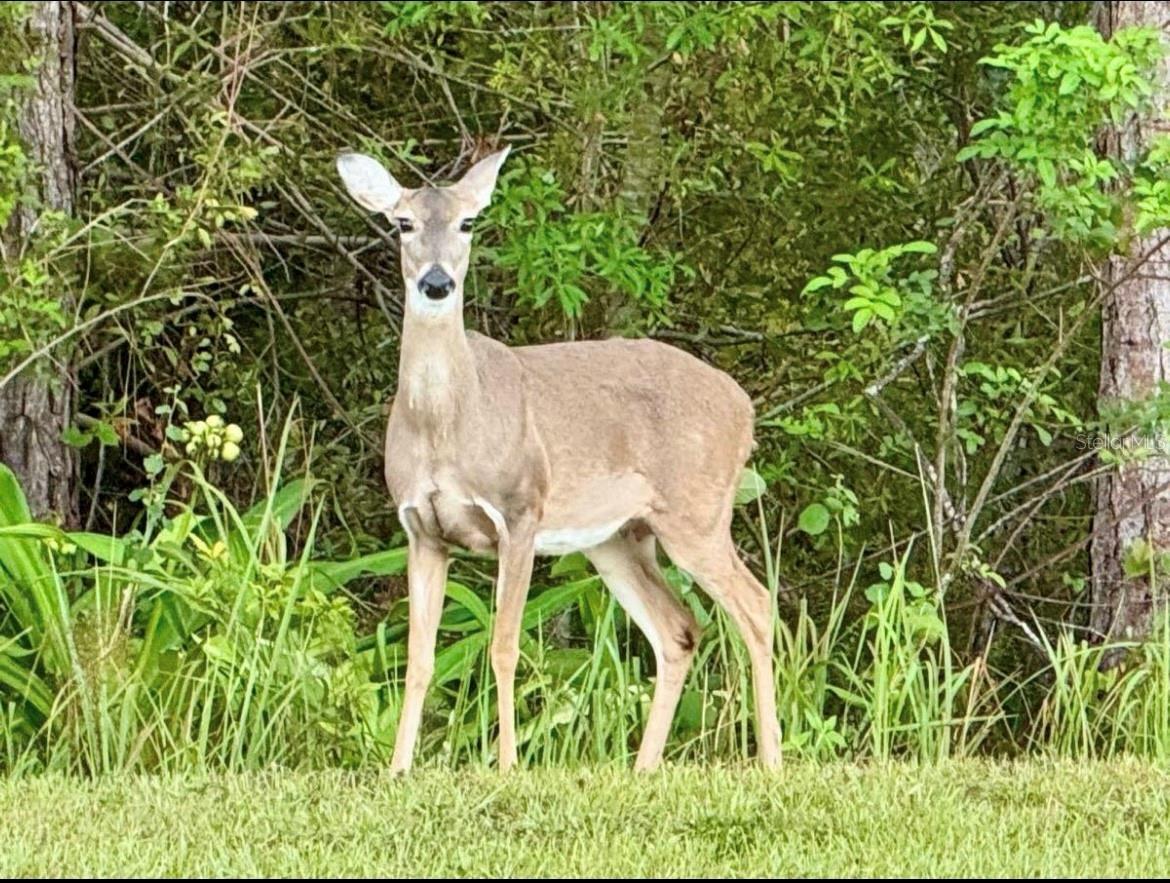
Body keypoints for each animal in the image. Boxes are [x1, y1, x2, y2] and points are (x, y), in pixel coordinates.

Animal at [334, 145, 781, 771]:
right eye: (403, 223)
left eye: (468, 222)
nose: (437, 282)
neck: (447, 427)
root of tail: (744, 407)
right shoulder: (421, 529)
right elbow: (419, 659)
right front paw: (398, 770)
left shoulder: (520, 510)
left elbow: (503, 646)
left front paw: (507, 766)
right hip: (617, 537)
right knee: (678, 629)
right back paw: (642, 769)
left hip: (698, 511)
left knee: (757, 605)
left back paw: (771, 761)